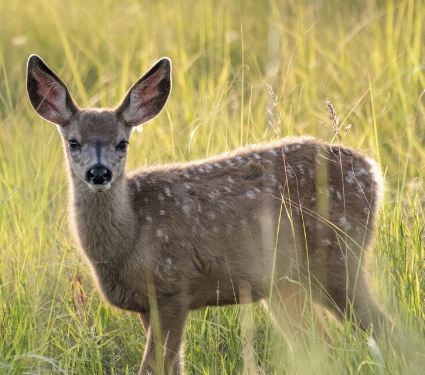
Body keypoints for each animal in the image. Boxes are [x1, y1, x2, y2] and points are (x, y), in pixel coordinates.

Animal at [26, 54, 390, 374]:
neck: (130, 236)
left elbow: (152, 368)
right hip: (284, 283)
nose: (99, 173)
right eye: (73, 142)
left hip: (338, 254)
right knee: (318, 345)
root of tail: (372, 171)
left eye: (122, 143)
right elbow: (172, 368)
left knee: (382, 327)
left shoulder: (172, 288)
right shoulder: (147, 304)